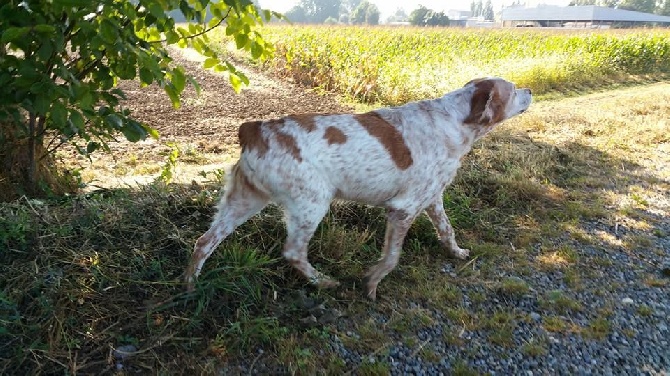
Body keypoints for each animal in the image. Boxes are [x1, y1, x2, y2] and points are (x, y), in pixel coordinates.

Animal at [186, 77, 532, 300]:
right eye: (514, 90)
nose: (530, 90)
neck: (456, 121)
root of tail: (255, 129)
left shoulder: (432, 197)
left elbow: (447, 230)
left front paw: (457, 253)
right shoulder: (403, 208)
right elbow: (391, 258)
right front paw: (372, 285)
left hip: (244, 201)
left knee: (204, 241)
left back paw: (190, 284)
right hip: (311, 205)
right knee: (293, 252)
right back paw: (322, 282)